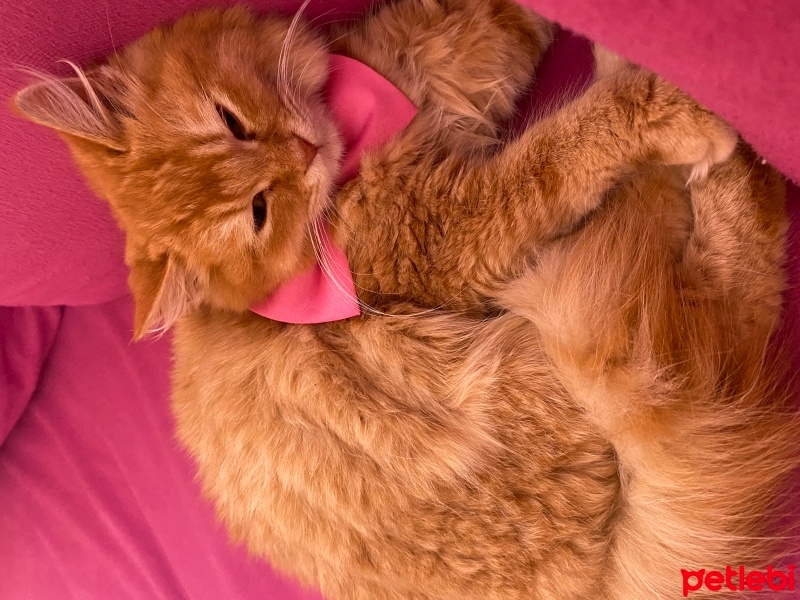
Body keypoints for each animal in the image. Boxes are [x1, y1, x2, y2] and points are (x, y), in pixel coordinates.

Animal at [14, 1, 800, 600]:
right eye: (259, 213)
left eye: (230, 121)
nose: (302, 151)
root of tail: (601, 573)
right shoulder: (458, 227)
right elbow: (564, 148)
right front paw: (666, 105)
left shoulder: (459, 48)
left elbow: (506, 16)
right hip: (582, 350)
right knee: (724, 314)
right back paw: (724, 152)